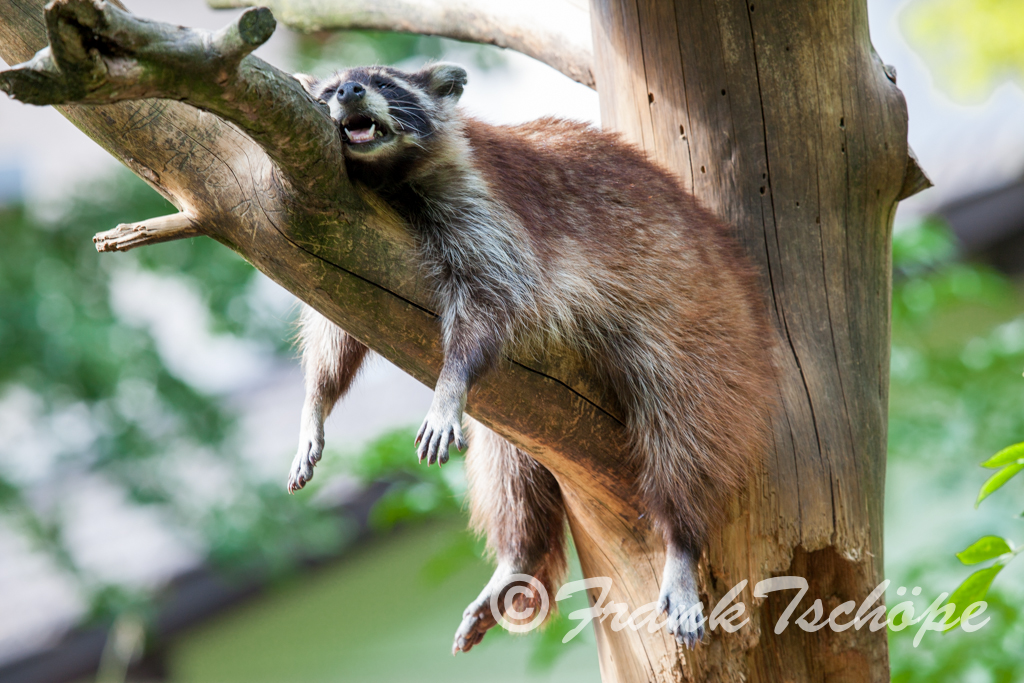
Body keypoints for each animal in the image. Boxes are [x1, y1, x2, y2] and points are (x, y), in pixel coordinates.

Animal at [284, 62, 770, 651]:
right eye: (333, 89)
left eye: (383, 82)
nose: (351, 92)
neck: (389, 180)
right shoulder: (348, 247)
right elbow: (336, 326)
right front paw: (315, 401)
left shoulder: (486, 210)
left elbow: (492, 300)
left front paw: (449, 382)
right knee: (508, 459)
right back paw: (520, 553)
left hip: (704, 326)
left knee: (686, 429)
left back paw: (682, 535)